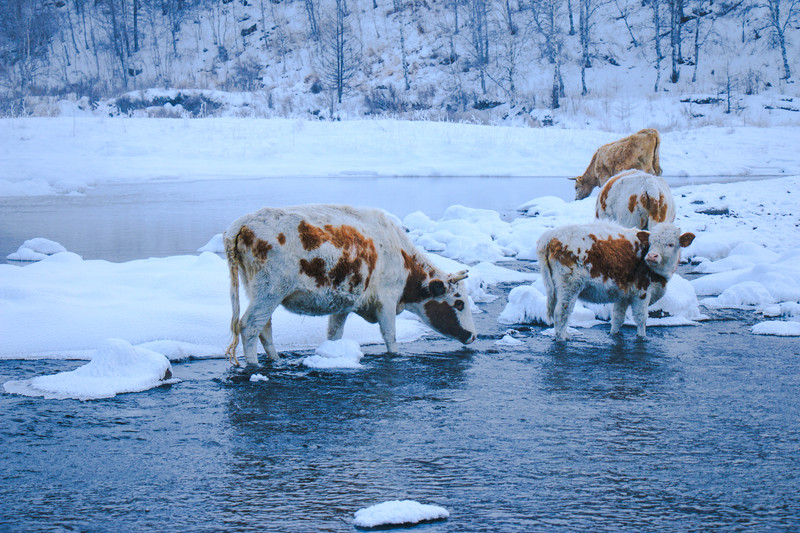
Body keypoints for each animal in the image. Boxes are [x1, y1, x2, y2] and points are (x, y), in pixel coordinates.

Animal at [222, 205, 478, 366]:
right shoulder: (387, 300)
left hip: (256, 290)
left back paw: (275, 360)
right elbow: (390, 335)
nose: (473, 336)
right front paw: (394, 356)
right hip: (270, 291)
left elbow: (335, 334)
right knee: (249, 326)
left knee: (264, 327)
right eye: (459, 304)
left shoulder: (343, 304)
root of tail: (242, 224)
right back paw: (254, 366)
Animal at [536, 221, 692, 340]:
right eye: (651, 242)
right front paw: (642, 337)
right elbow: (641, 318)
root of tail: (551, 236)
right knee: (561, 313)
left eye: (671, 244)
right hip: (570, 286)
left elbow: (617, 317)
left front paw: (613, 335)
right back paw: (563, 338)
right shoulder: (642, 292)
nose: (652, 256)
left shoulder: (623, 295)